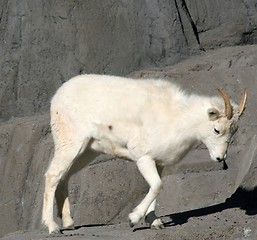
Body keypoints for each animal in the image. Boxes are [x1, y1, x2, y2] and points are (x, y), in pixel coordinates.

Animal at [41, 74, 246, 233]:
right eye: (217, 130)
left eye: (234, 131)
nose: (219, 158)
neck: (176, 118)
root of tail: (57, 97)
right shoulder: (143, 158)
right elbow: (156, 185)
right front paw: (133, 219)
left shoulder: (158, 163)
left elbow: (155, 187)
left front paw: (154, 222)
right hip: (70, 144)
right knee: (52, 175)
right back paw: (52, 227)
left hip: (87, 151)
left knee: (64, 176)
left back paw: (69, 223)